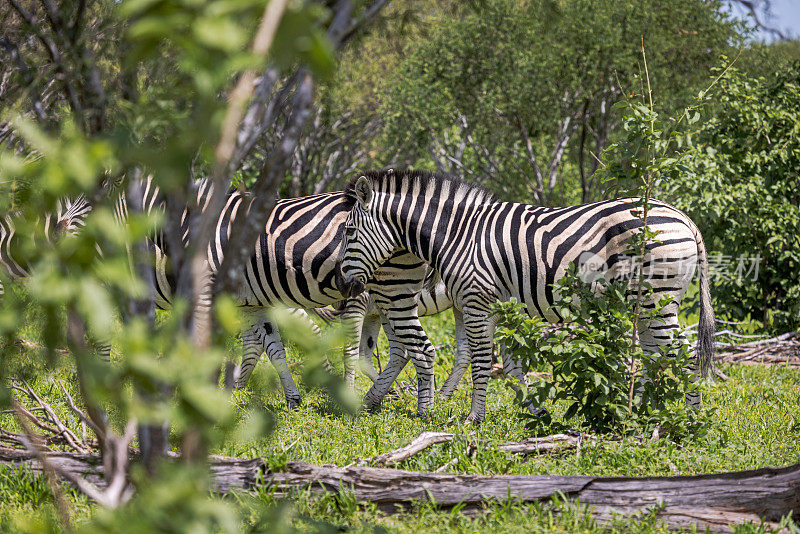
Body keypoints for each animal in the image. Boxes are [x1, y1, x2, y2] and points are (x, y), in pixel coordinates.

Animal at [334, 170, 716, 426]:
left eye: (349, 232)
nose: (341, 284)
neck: (458, 234)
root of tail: (684, 217)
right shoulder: (501, 307)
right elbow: (513, 364)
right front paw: (536, 410)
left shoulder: (477, 302)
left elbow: (481, 362)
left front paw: (474, 419)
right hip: (645, 303)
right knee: (656, 357)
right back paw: (637, 413)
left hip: (656, 297)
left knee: (685, 354)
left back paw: (692, 418)